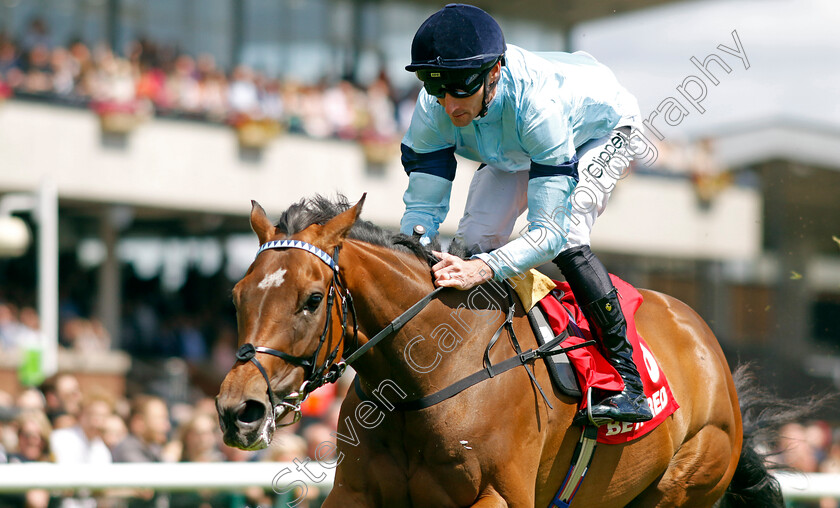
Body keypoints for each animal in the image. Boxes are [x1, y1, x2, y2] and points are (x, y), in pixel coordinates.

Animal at [217, 192, 780, 506]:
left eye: (312, 300)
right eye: (237, 295)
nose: (239, 410)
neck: (427, 376)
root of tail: (709, 349)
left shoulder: (497, 497)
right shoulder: (355, 493)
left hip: (687, 478)